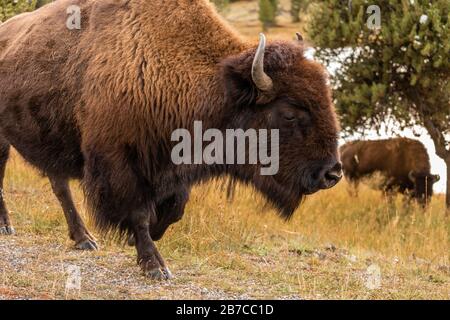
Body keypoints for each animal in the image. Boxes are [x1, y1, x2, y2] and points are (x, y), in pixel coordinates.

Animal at [0, 0, 342, 280]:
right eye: (289, 113)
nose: (332, 173)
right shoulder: (123, 164)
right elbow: (138, 213)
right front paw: (155, 266)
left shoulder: (174, 169)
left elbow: (174, 209)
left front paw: (143, 238)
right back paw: (8, 226)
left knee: (59, 186)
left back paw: (84, 239)